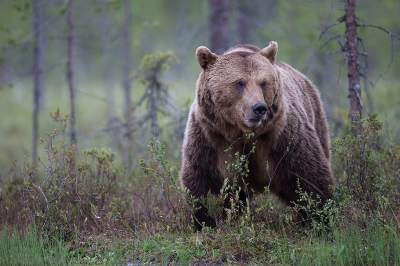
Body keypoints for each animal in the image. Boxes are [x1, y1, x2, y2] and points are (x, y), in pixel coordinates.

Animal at [180, 42, 332, 231]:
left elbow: (308, 176)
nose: (259, 108)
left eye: (263, 83)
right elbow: (203, 182)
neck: (243, 132)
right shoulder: (211, 137)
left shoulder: (281, 136)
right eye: (239, 83)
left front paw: (320, 220)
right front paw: (206, 222)